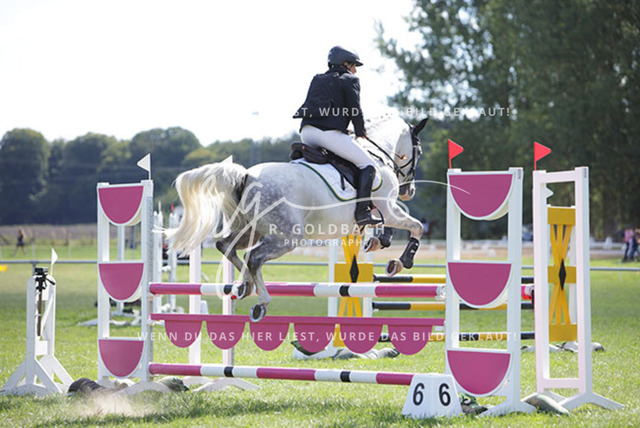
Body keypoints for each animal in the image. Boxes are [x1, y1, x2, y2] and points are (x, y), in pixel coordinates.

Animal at [166, 113, 428, 321]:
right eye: (419, 150)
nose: (410, 191)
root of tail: (247, 176)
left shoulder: (380, 211)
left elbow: (389, 225)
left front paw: (379, 242)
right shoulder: (388, 207)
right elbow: (416, 226)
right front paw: (401, 261)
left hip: (252, 230)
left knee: (226, 246)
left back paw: (245, 286)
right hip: (287, 237)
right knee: (254, 258)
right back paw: (261, 301)